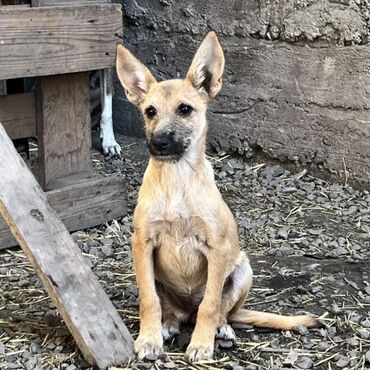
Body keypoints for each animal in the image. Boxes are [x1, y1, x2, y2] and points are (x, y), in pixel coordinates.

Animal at [115, 31, 318, 362]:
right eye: (150, 112)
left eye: (185, 109)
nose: (158, 143)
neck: (177, 180)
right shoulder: (142, 243)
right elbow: (149, 300)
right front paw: (149, 339)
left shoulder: (217, 248)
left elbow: (210, 305)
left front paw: (201, 344)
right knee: (172, 309)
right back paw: (168, 324)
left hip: (242, 269)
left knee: (221, 310)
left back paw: (221, 329)